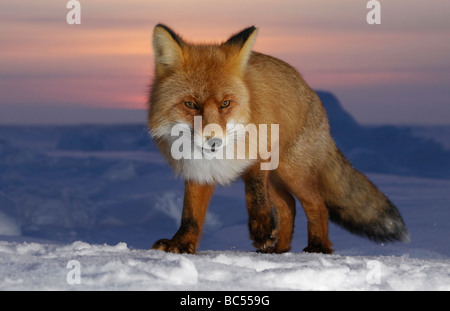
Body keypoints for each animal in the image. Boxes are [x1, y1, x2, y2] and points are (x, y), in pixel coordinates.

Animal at [148, 23, 408, 254]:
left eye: (226, 104)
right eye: (190, 105)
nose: (214, 142)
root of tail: (312, 94)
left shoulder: (259, 150)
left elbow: (255, 192)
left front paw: (262, 228)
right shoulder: (197, 169)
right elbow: (190, 214)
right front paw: (181, 244)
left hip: (290, 170)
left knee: (316, 204)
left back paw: (318, 247)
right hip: (278, 177)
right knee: (288, 206)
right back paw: (280, 250)